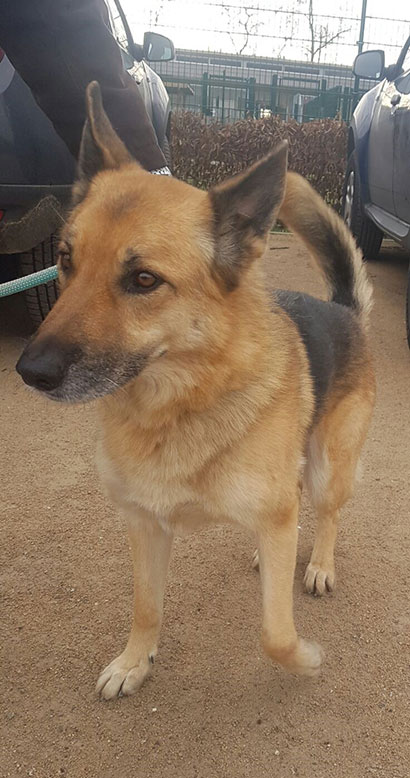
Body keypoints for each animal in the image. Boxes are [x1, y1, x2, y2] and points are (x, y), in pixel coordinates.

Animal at [16, 82, 375, 700]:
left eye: (143, 280)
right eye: (64, 259)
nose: (29, 370)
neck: (183, 402)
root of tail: (343, 309)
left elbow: (275, 634)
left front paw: (305, 659)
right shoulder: (144, 526)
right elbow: (146, 608)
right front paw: (134, 663)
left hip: (331, 466)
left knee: (326, 514)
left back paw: (319, 565)